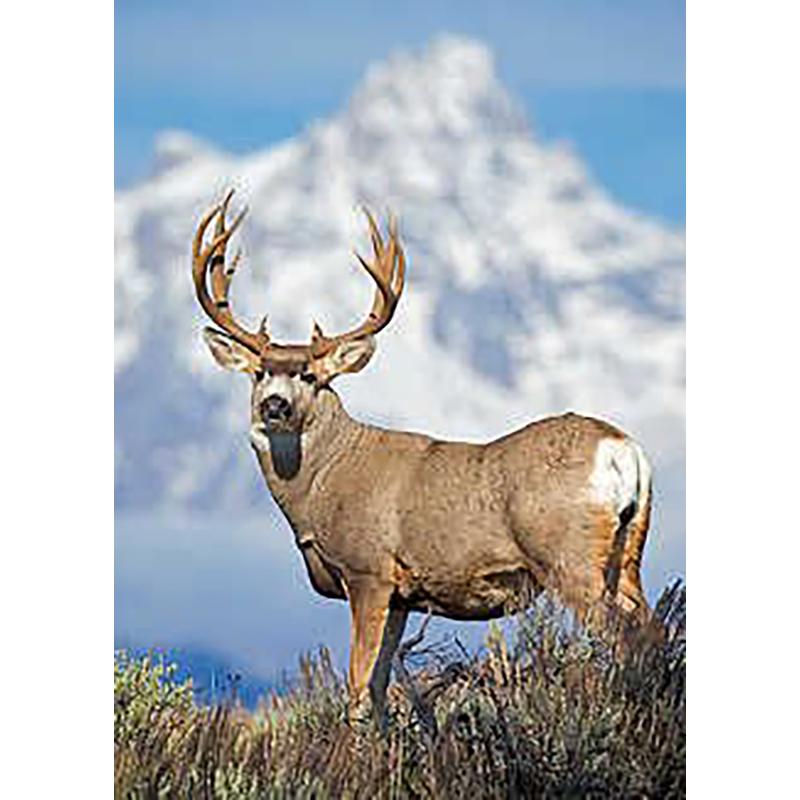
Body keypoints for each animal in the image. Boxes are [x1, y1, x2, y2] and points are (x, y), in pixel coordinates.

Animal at [192, 190, 654, 726]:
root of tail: (623, 448)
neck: (323, 482)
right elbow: (378, 688)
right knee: (656, 631)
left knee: (625, 639)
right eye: (260, 371)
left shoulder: (368, 570)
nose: (274, 406)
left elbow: (357, 688)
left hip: (570, 556)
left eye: (310, 375)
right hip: (627, 556)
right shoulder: (403, 595)